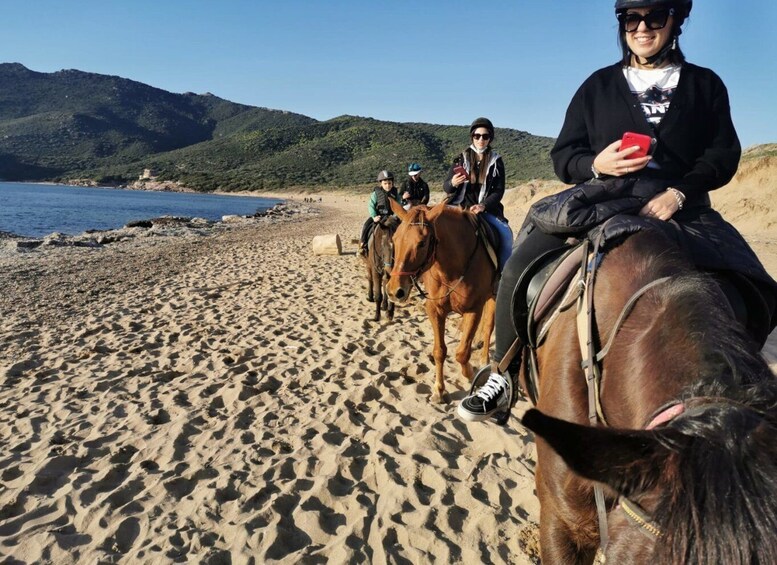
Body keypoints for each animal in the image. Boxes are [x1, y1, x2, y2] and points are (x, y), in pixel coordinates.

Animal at [388, 200, 498, 404]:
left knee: (488, 328)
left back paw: (484, 360)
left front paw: (471, 373)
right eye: (395, 239)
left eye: (422, 243)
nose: (394, 291)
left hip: (493, 296)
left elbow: (462, 353)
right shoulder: (435, 310)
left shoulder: (474, 310)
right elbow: (439, 351)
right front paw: (439, 389)